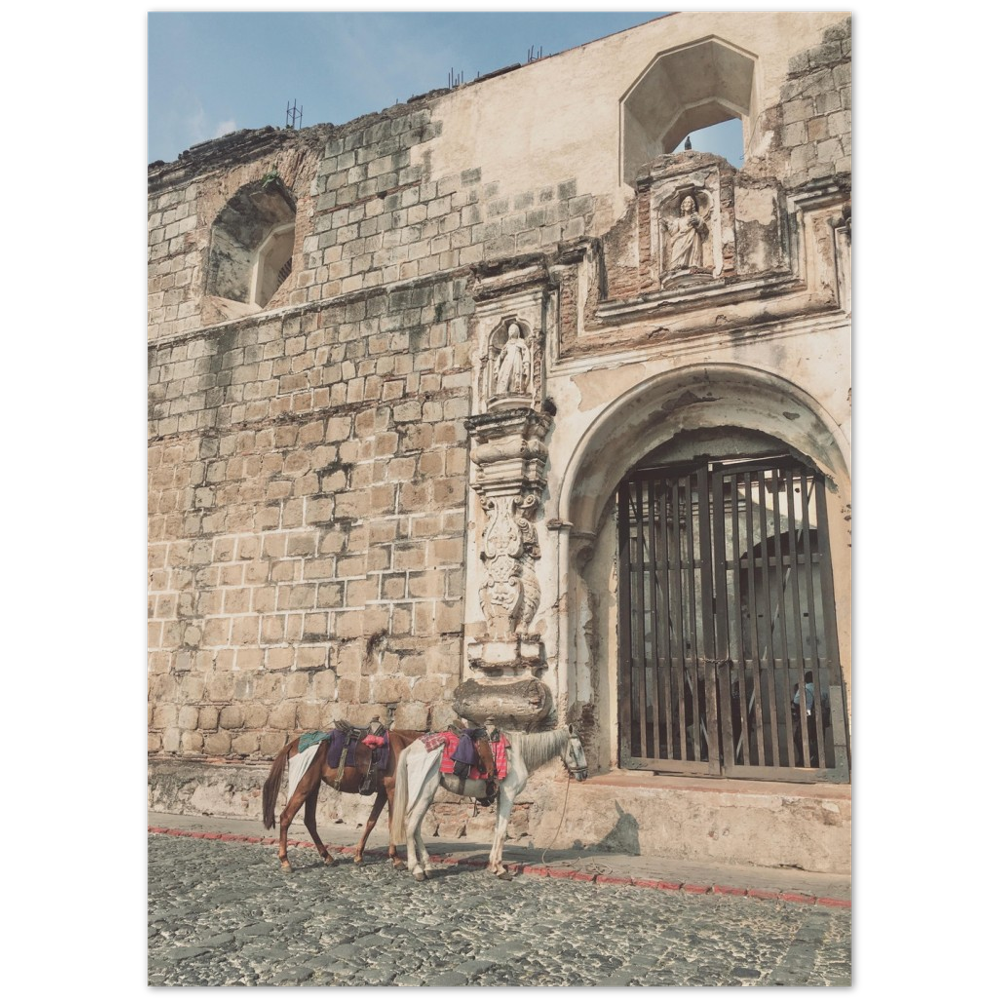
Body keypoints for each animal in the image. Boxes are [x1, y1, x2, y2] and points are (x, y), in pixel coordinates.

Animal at [262, 724, 422, 872]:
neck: (404, 746)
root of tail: (292, 744)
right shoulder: (392, 791)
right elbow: (392, 823)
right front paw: (396, 859)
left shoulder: (383, 793)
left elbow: (371, 822)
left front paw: (358, 856)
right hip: (303, 786)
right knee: (286, 817)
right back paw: (285, 861)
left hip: (313, 787)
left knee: (309, 821)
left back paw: (327, 857)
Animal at [388, 728, 584, 884]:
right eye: (580, 748)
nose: (584, 773)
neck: (519, 753)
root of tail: (411, 748)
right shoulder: (508, 795)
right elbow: (503, 832)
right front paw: (501, 870)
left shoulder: (500, 797)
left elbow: (497, 830)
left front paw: (494, 866)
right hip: (423, 792)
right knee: (410, 825)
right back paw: (416, 869)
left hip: (426, 795)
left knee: (416, 828)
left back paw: (427, 867)